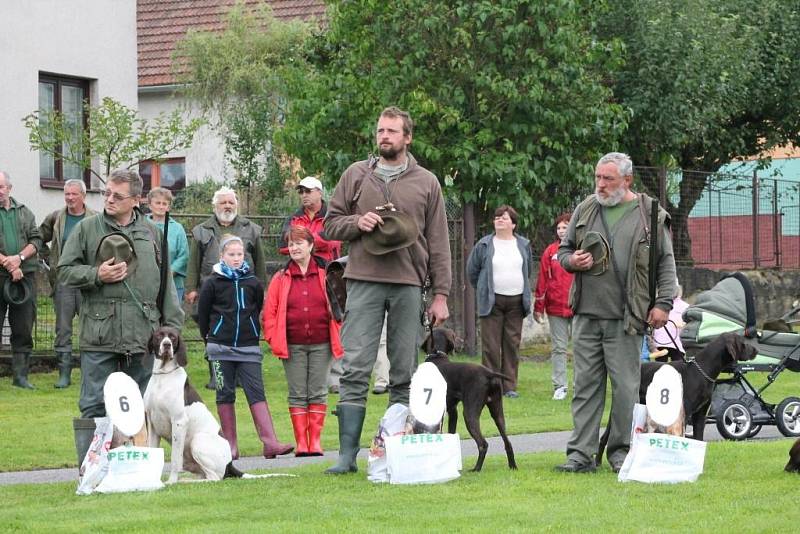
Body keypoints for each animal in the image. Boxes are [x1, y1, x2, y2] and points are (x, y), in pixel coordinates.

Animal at [144, 326, 242, 486]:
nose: (167, 345)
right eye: (159, 336)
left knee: (214, 478)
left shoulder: (179, 422)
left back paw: (185, 482)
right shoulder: (152, 425)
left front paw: (171, 481)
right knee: (204, 475)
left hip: (198, 441)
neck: (163, 376)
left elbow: (174, 459)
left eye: (173, 337)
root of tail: (230, 464)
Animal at [424, 326, 520, 474]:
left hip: (469, 414)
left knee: (483, 444)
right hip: (497, 412)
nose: (462, 342)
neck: (437, 356)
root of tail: (488, 373)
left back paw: (476, 469)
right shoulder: (452, 411)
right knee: (507, 442)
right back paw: (512, 466)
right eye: (454, 335)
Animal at [596, 332, 760, 466]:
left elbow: (698, 438)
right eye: (743, 342)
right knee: (605, 437)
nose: (756, 350)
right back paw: (598, 463)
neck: (702, 371)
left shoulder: (700, 414)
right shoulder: (685, 413)